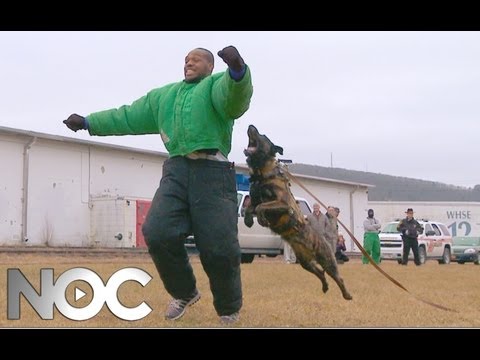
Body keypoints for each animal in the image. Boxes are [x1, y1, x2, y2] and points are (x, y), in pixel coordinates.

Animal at [244, 125, 352, 300]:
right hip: (305, 262)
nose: (251, 126)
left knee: (337, 276)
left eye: (263, 135)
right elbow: (249, 208)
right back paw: (325, 287)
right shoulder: (254, 201)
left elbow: (261, 207)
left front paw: (261, 219)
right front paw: (248, 221)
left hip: (327, 259)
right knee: (320, 273)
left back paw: (346, 294)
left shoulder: (283, 204)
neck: (262, 173)